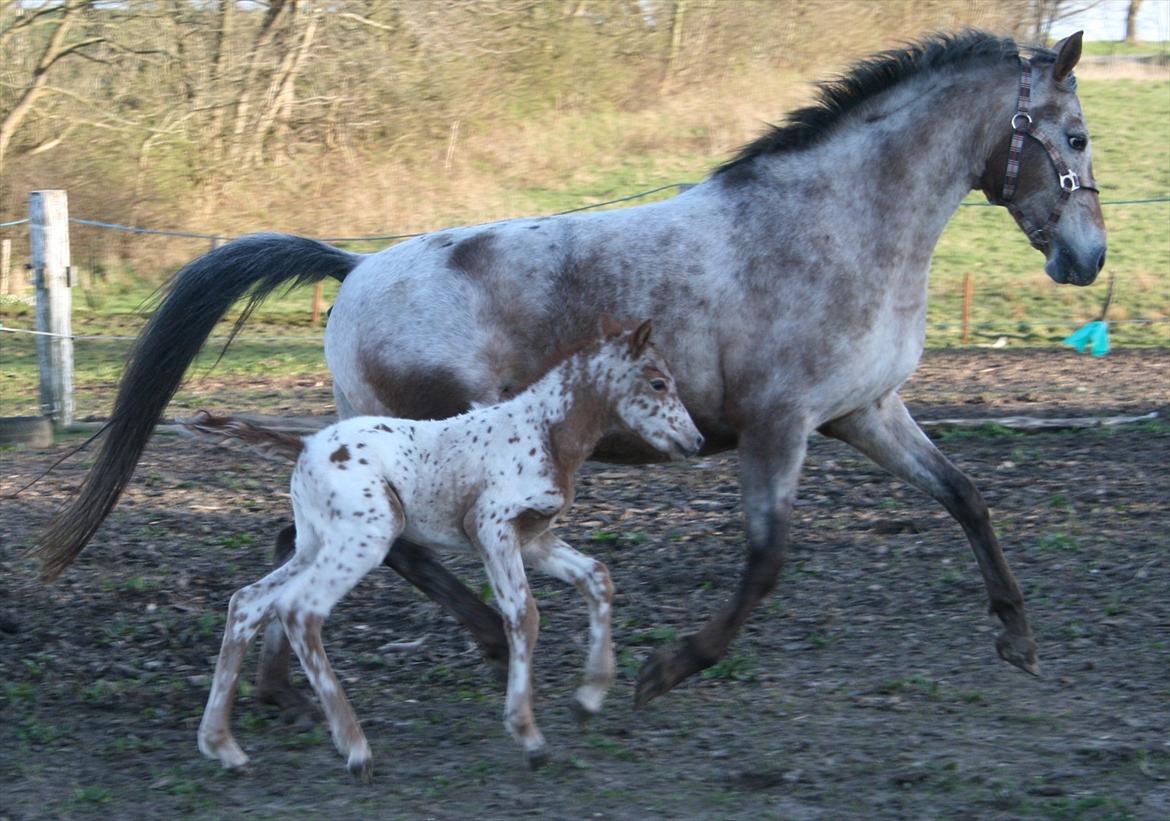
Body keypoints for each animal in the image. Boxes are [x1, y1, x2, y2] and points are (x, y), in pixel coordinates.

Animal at [32, 31, 1106, 710]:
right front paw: (668, 669)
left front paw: (1018, 640)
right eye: (1077, 136)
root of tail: (354, 268)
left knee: (300, 544)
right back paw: (468, 640)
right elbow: (766, 559)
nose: (1087, 258)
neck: (835, 225)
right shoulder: (778, 424)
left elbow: (966, 495)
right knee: (389, 551)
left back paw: (280, 686)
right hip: (422, 448)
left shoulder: (866, 411)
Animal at [185, 320, 702, 778]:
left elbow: (597, 576)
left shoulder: (534, 538)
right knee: (299, 610)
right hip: (366, 537)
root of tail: (305, 445)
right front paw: (528, 736)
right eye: (658, 382)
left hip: (316, 543)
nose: (694, 440)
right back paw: (356, 750)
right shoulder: (492, 528)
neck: (545, 433)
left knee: (248, 603)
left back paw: (223, 747)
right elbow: (524, 616)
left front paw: (588, 699)